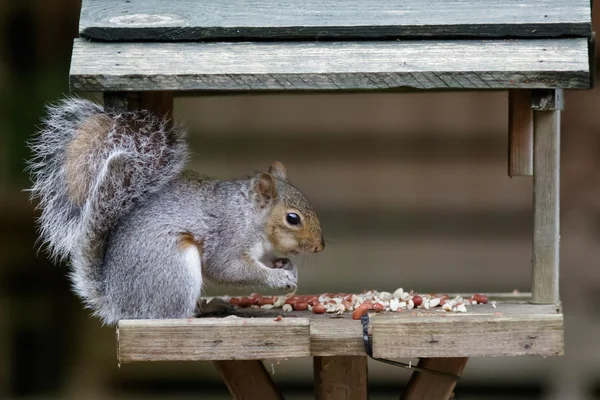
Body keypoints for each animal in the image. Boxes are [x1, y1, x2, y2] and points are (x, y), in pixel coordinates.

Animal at [27, 97, 324, 324]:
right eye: (293, 218)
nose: (319, 247)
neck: (251, 216)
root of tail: (119, 303)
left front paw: (285, 265)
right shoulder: (230, 236)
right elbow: (228, 268)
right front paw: (278, 277)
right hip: (174, 266)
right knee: (174, 314)